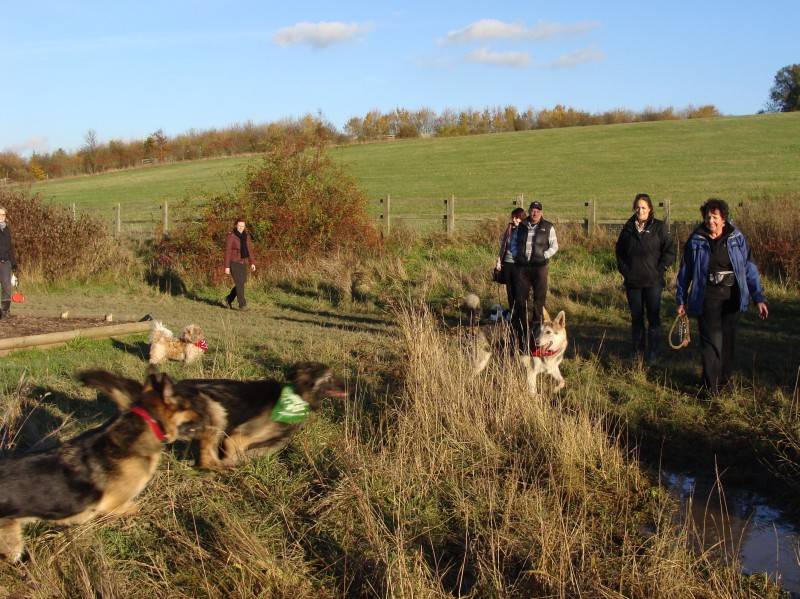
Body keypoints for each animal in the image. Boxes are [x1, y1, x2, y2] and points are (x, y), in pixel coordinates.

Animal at [2, 370, 206, 564]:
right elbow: (134, 508)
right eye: (189, 406)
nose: (205, 415)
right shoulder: (114, 505)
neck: (148, 421)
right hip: (12, 542)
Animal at [78, 364, 346, 472]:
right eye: (331, 378)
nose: (349, 386)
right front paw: (234, 464)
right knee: (207, 461)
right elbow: (233, 452)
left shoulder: (273, 441)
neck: (296, 394)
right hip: (215, 411)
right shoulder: (237, 436)